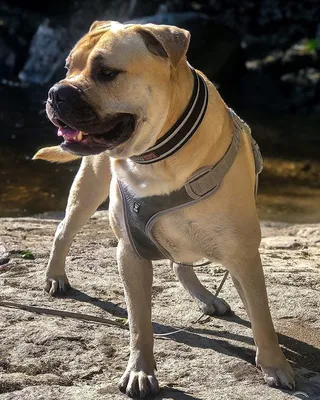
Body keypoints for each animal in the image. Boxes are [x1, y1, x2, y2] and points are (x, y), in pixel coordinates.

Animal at [33, 20, 296, 396]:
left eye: (106, 72)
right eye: (68, 67)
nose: (56, 92)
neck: (161, 156)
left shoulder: (243, 254)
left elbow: (262, 315)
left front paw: (276, 365)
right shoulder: (130, 253)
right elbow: (139, 322)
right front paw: (140, 371)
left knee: (179, 264)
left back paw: (205, 297)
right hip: (87, 192)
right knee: (62, 232)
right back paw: (55, 276)